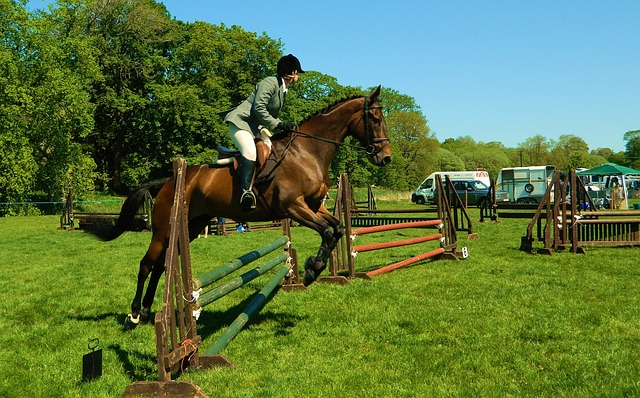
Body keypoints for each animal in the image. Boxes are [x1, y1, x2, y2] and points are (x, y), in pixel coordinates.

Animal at [88, 85, 392, 328]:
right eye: (375, 119)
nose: (386, 158)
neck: (307, 152)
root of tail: (169, 180)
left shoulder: (315, 207)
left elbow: (337, 228)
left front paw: (313, 267)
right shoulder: (293, 208)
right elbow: (328, 232)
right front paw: (310, 270)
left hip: (190, 227)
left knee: (162, 266)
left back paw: (148, 311)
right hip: (164, 230)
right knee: (146, 265)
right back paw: (134, 315)